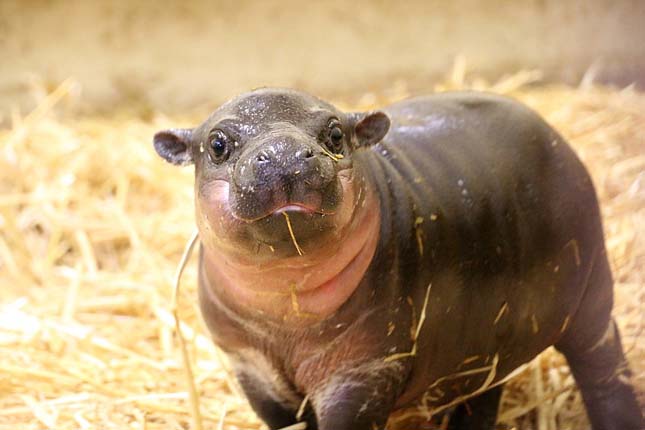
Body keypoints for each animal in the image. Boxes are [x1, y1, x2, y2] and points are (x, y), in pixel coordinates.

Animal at [153, 90, 640, 430]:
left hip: (591, 298)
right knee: (484, 394)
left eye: (335, 134)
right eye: (217, 144)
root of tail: (553, 134)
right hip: (489, 340)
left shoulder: (364, 371)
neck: (284, 306)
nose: (286, 155)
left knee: (606, 370)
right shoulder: (251, 366)